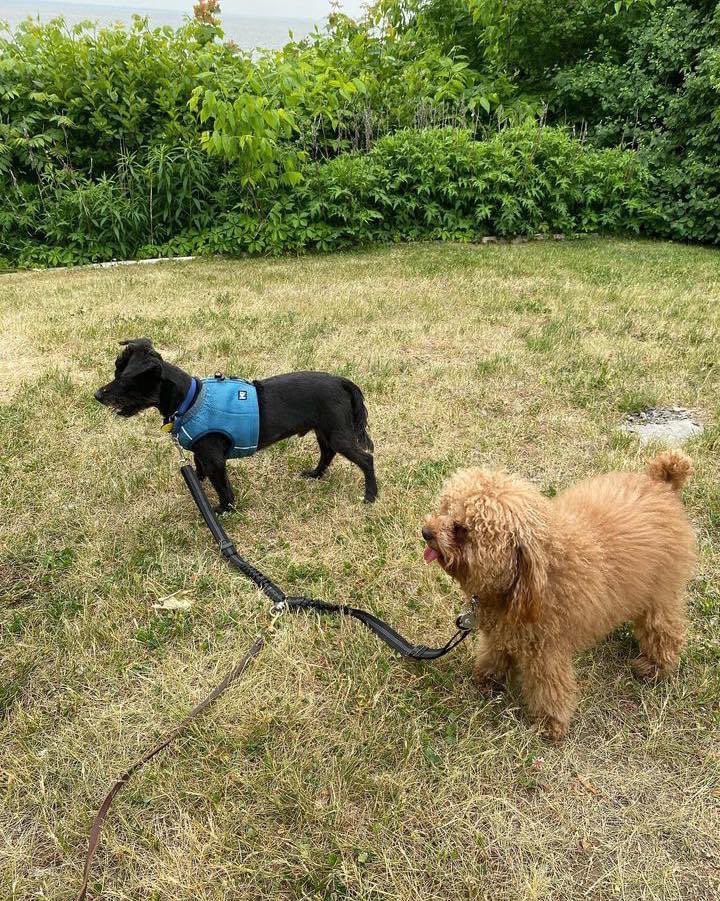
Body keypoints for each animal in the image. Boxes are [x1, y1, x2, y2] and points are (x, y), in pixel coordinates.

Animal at [95, 338, 380, 510]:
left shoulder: (214, 459)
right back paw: (315, 474)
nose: (97, 395)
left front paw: (223, 510)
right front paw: (199, 488)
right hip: (324, 431)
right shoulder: (201, 453)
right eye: (116, 374)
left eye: (123, 379)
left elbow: (223, 488)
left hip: (337, 433)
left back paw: (371, 495)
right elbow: (200, 471)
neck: (190, 399)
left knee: (366, 459)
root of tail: (341, 381)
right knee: (327, 453)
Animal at [422, 450, 696, 740]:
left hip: (660, 593)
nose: (425, 532)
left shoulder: (546, 649)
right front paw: (488, 678)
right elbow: (495, 651)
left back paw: (655, 667)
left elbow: (549, 687)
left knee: (663, 630)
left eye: (460, 528)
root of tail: (661, 482)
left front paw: (549, 723)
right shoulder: (502, 629)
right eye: (444, 509)